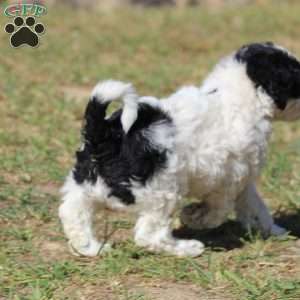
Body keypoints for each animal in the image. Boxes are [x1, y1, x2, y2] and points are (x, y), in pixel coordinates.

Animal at [59, 42, 300, 258]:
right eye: (295, 76)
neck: (234, 95)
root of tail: (103, 135)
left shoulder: (243, 179)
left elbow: (255, 207)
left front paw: (275, 231)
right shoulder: (227, 177)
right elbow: (218, 209)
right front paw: (193, 217)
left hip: (84, 183)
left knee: (72, 213)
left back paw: (91, 248)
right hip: (163, 192)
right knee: (149, 236)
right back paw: (188, 248)